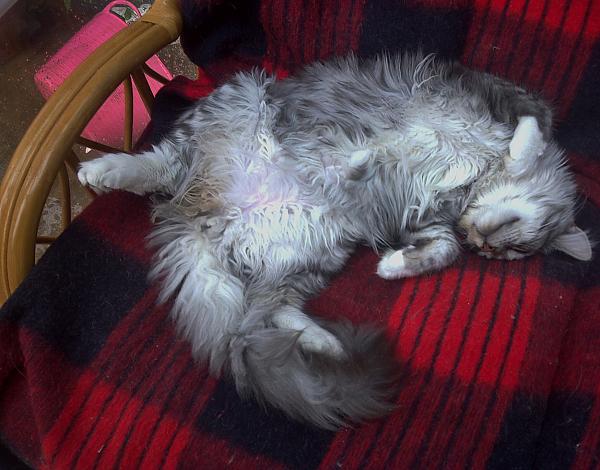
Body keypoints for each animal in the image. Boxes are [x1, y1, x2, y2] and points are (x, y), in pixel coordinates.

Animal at [76, 52, 592, 430]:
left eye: (506, 255)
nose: (483, 246)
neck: (470, 186)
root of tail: (206, 217)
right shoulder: (498, 94)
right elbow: (530, 132)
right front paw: (520, 153)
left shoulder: (426, 221)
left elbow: (441, 250)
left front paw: (393, 265)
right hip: (236, 102)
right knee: (161, 165)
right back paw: (103, 170)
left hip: (315, 250)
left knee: (263, 316)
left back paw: (327, 344)